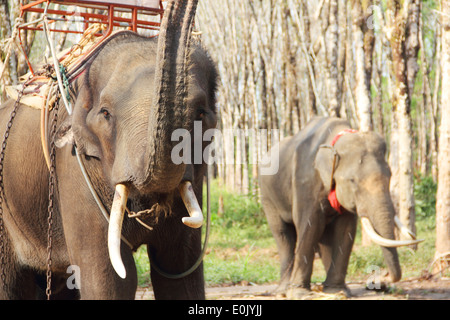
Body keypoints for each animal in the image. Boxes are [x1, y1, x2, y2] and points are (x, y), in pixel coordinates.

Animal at [0, 0, 218, 300]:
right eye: (105, 113)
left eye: (201, 113)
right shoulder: (75, 165)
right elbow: (111, 278)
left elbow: (179, 272)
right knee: (11, 283)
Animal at [260, 117, 422, 298]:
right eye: (352, 180)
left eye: (390, 176)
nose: (381, 280)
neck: (336, 139)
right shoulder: (305, 181)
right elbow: (310, 226)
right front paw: (300, 294)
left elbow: (345, 230)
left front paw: (338, 290)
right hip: (267, 196)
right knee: (283, 235)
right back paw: (283, 291)